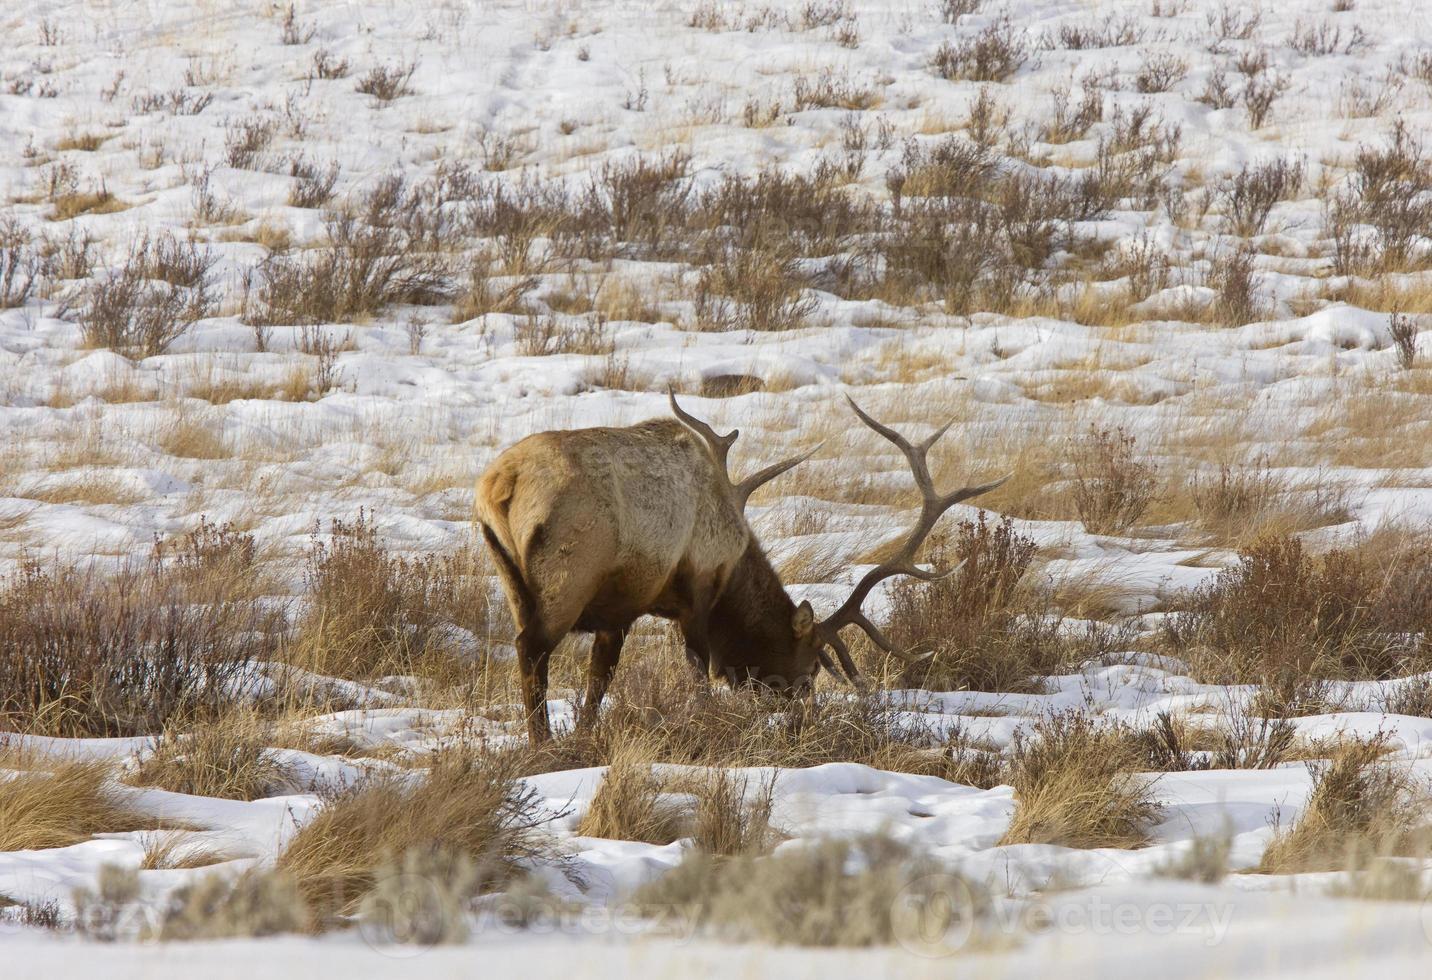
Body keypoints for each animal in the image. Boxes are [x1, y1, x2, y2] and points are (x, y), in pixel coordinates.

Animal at [472, 395, 1008, 739]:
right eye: (810, 666)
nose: (801, 717)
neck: (733, 571)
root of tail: (501, 484)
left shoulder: (623, 608)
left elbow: (598, 682)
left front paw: (585, 736)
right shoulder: (692, 591)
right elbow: (696, 671)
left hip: (510, 575)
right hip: (570, 573)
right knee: (531, 649)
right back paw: (541, 743)